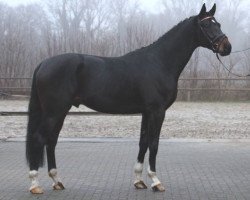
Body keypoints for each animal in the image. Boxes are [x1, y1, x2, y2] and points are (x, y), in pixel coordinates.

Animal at [25, 3, 230, 194]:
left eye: (218, 24)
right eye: (206, 25)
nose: (227, 47)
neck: (159, 62)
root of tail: (43, 63)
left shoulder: (147, 112)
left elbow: (143, 142)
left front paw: (139, 181)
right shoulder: (157, 111)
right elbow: (154, 144)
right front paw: (156, 181)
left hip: (60, 112)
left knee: (51, 141)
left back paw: (57, 181)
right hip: (54, 112)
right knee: (39, 139)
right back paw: (35, 184)